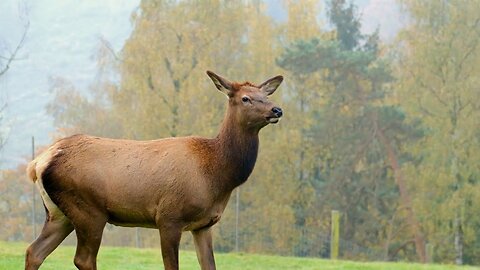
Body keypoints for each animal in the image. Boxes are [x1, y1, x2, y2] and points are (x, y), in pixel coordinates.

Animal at [24, 70, 284, 268]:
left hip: (58, 213)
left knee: (34, 251)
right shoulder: (169, 217)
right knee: (83, 259)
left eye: (266, 94)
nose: (277, 110)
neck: (216, 175)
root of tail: (39, 163)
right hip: (89, 210)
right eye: (246, 98)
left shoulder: (204, 225)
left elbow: (209, 265)